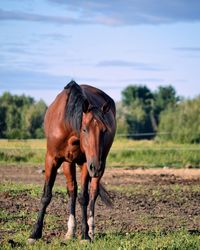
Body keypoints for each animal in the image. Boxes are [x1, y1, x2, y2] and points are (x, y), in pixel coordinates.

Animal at [27, 80, 115, 242]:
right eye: (85, 129)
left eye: (104, 130)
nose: (96, 167)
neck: (67, 124)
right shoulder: (52, 159)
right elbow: (46, 195)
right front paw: (35, 234)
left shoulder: (87, 163)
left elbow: (84, 197)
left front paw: (85, 235)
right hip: (70, 163)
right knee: (72, 190)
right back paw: (70, 232)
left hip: (98, 163)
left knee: (93, 193)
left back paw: (91, 230)